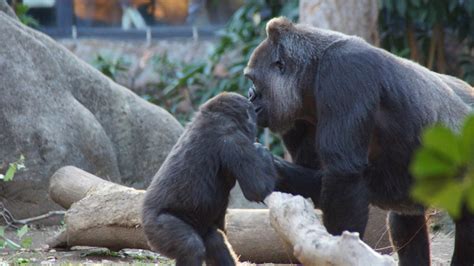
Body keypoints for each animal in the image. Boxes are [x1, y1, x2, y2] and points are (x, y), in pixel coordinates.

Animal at [141, 92, 274, 266]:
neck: (219, 115)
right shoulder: (233, 140)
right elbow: (257, 189)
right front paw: (263, 152)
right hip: (155, 226)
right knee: (191, 245)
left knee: (214, 241)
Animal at [244, 17, 474, 266]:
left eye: (254, 80)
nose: (249, 95)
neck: (312, 71)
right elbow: (318, 180)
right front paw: (263, 163)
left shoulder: (344, 70)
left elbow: (342, 174)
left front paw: (338, 250)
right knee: (404, 219)